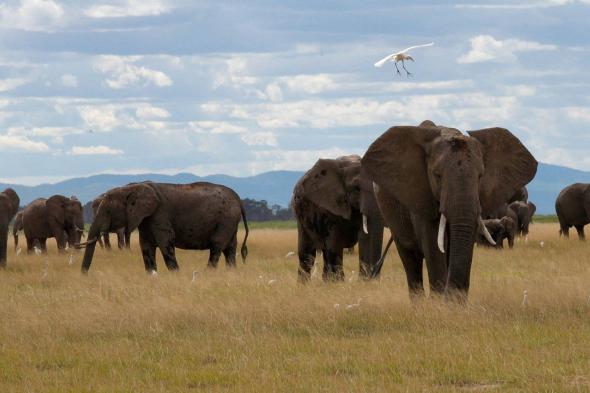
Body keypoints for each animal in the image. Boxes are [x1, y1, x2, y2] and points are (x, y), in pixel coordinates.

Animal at [77, 181, 249, 272]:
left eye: (107, 211)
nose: (84, 274)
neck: (133, 187)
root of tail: (238, 199)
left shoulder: (160, 215)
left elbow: (166, 244)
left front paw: (176, 275)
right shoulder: (145, 220)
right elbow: (146, 247)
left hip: (226, 219)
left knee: (217, 246)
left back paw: (208, 273)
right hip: (229, 222)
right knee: (230, 250)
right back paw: (231, 273)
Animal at [292, 154, 386, 282]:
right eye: (357, 188)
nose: (372, 277)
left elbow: (366, 235)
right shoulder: (329, 205)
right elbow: (335, 244)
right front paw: (339, 283)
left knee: (324, 251)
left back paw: (326, 281)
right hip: (300, 213)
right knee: (307, 253)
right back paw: (304, 284)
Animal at [364, 121, 540, 298]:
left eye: (480, 176)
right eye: (437, 175)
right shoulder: (420, 195)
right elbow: (434, 246)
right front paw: (440, 301)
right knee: (410, 260)